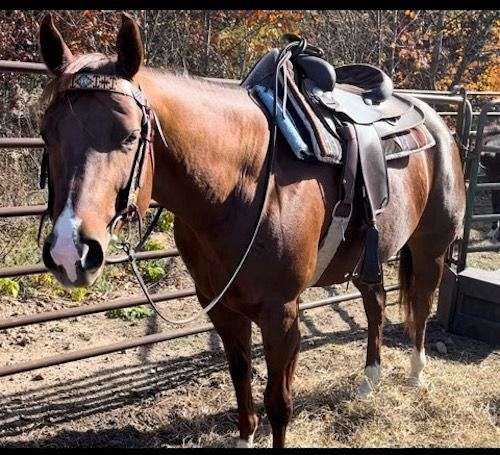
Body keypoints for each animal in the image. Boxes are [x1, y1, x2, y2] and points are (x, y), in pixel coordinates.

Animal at [38, 13, 464, 448]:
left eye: (128, 136)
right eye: (46, 134)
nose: (70, 253)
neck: (242, 187)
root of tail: (435, 120)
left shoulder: (281, 314)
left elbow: (278, 402)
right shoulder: (222, 308)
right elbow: (241, 378)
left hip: (429, 251)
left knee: (421, 304)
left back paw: (416, 374)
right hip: (367, 259)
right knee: (376, 305)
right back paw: (369, 380)